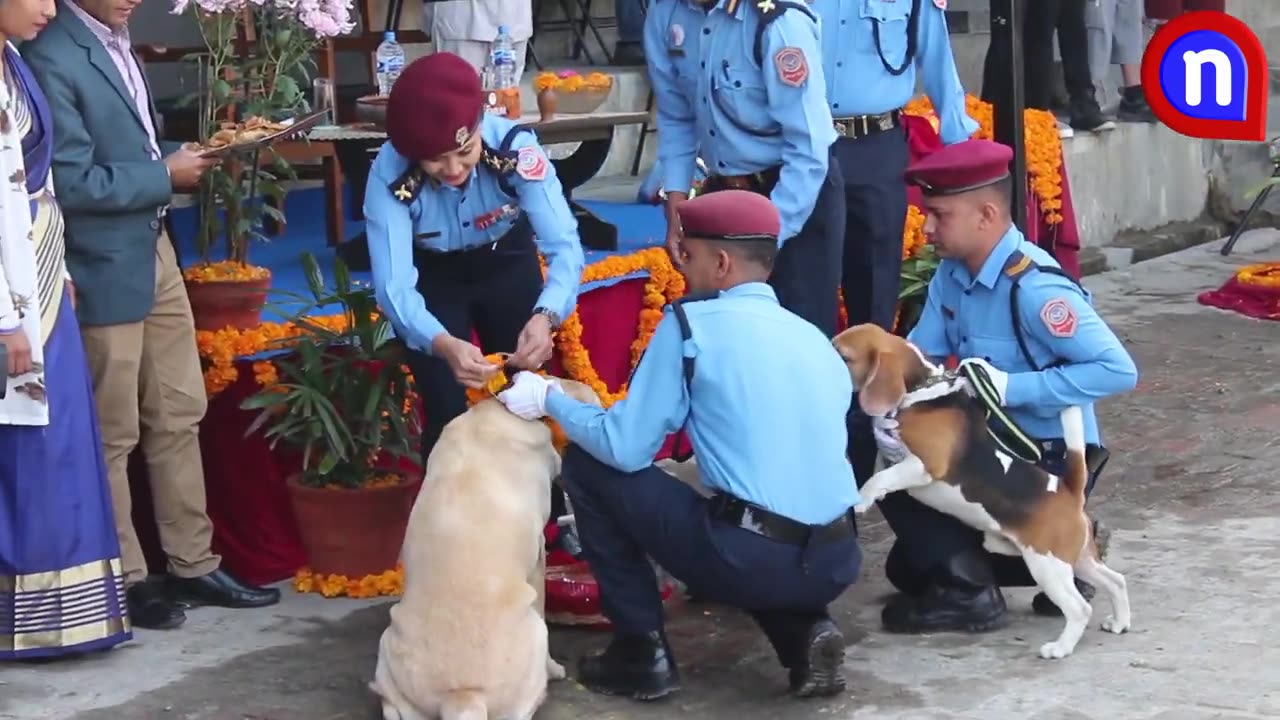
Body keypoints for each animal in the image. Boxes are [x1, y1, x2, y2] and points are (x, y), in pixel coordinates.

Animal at [371, 379, 599, 712]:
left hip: (388, 649)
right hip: (536, 634)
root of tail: (462, 697)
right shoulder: (538, 557)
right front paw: (554, 668)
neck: (500, 410)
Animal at [834, 322, 1126, 661]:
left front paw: (861, 499)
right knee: (1116, 581)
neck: (920, 389)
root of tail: (1068, 491)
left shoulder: (925, 465)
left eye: (844, 355)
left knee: (1079, 609)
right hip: (1077, 559)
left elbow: (879, 477)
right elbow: (879, 469)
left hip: (1047, 565)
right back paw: (1120, 621)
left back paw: (1060, 648)